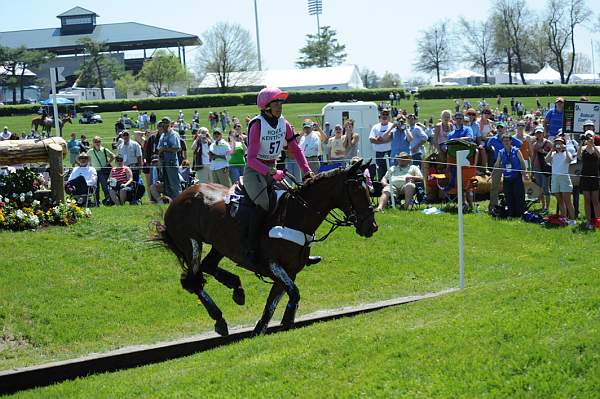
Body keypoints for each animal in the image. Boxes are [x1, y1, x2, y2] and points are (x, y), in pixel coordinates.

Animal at [155, 159, 380, 338]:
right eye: (356, 189)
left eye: (369, 188)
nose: (371, 226)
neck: (297, 215)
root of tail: (178, 197)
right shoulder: (273, 264)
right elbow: (294, 293)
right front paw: (287, 320)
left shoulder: (289, 271)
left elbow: (272, 303)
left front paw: (261, 329)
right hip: (191, 243)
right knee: (193, 280)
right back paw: (219, 318)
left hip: (219, 244)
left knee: (207, 267)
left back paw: (236, 288)